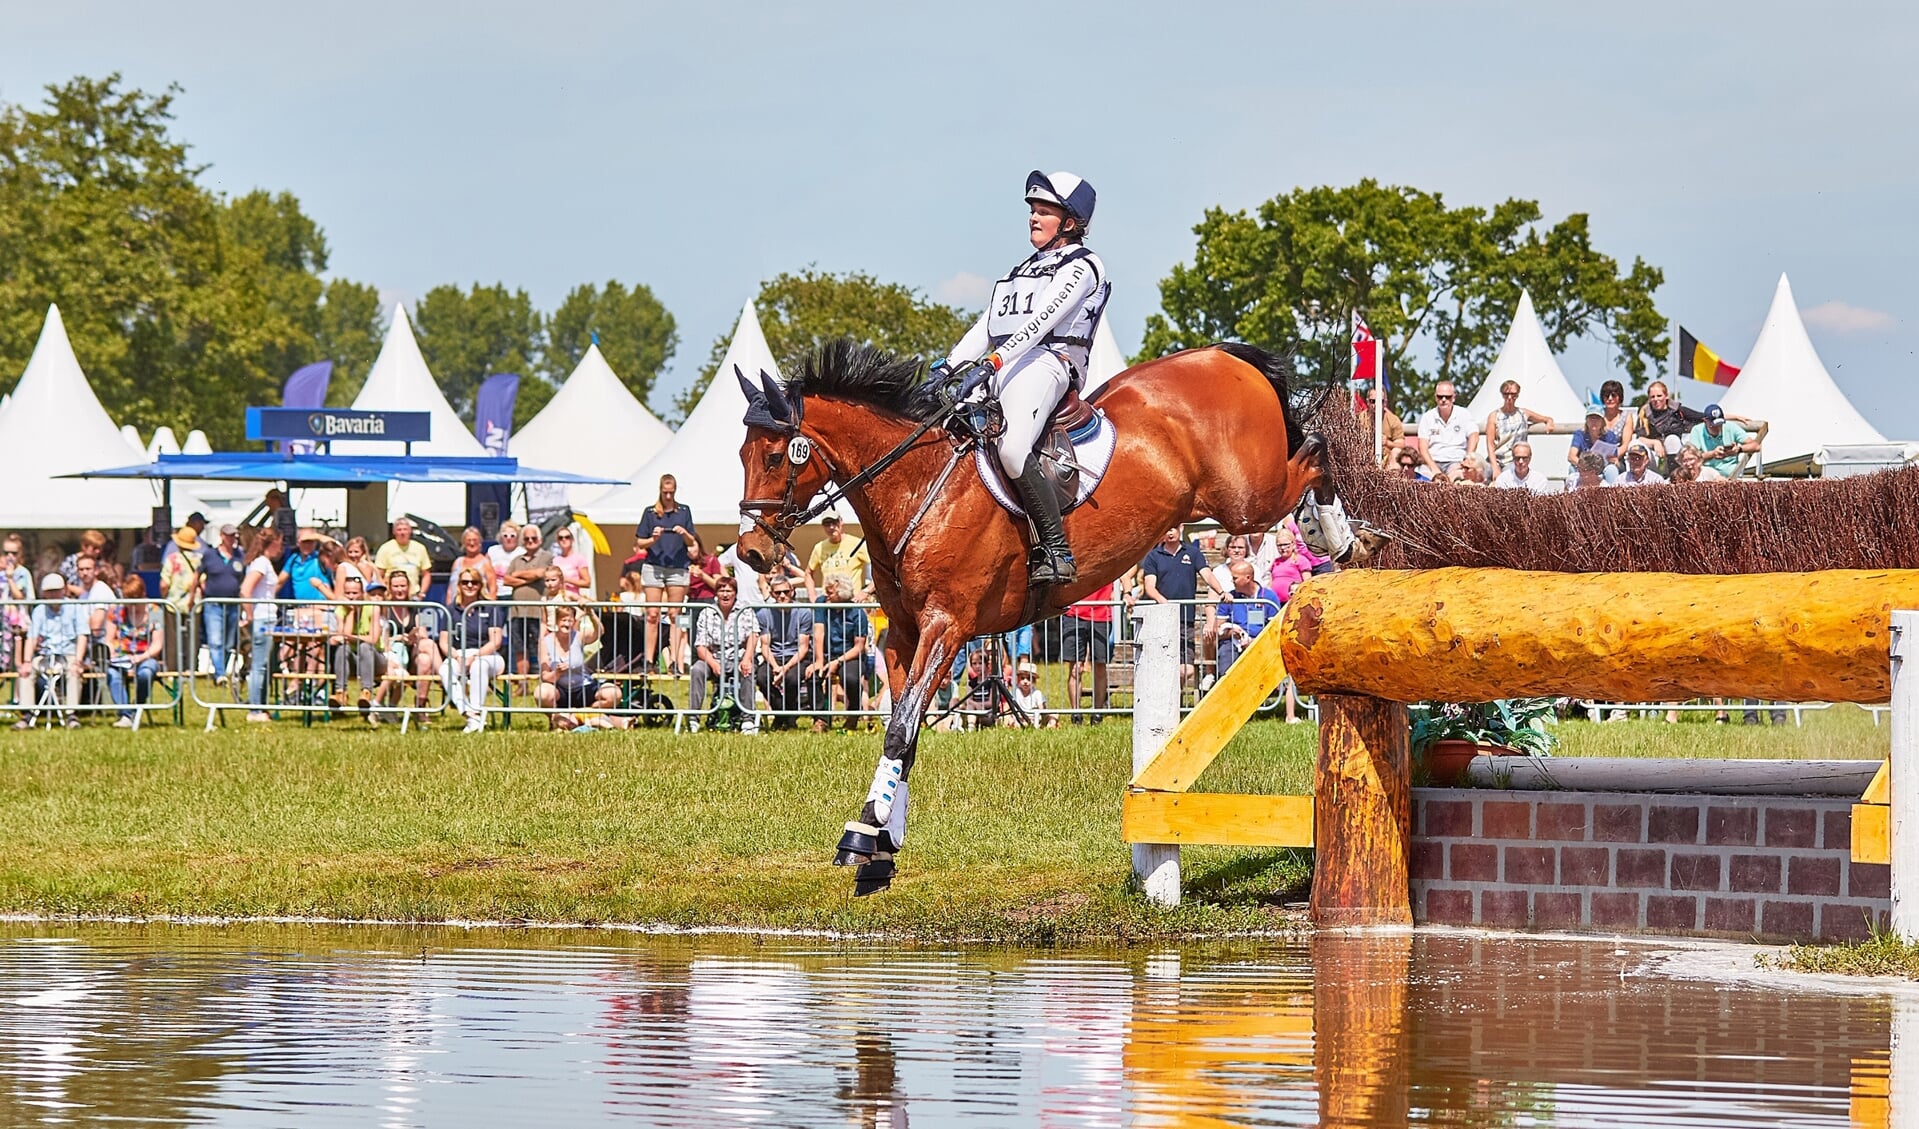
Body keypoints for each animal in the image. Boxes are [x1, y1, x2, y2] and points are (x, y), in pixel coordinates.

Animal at [733, 339, 1335, 894]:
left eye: (775, 457)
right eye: (742, 455)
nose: (751, 554)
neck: (917, 484)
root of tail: (1222, 354)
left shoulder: (946, 626)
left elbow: (900, 731)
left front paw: (860, 836)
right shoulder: (902, 635)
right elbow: (904, 733)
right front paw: (883, 845)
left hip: (1246, 500)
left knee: (1315, 449)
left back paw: (1335, 535)